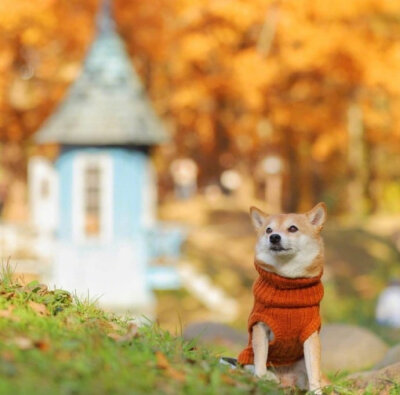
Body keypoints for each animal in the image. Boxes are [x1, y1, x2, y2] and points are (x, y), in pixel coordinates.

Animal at [238, 203, 328, 394]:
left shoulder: (311, 334)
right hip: (246, 356)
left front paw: (316, 391)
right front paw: (261, 379)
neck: (288, 283)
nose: (274, 237)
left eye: (292, 228)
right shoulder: (261, 326)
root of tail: (288, 382)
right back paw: (270, 378)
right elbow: (260, 360)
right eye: (268, 230)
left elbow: (314, 371)